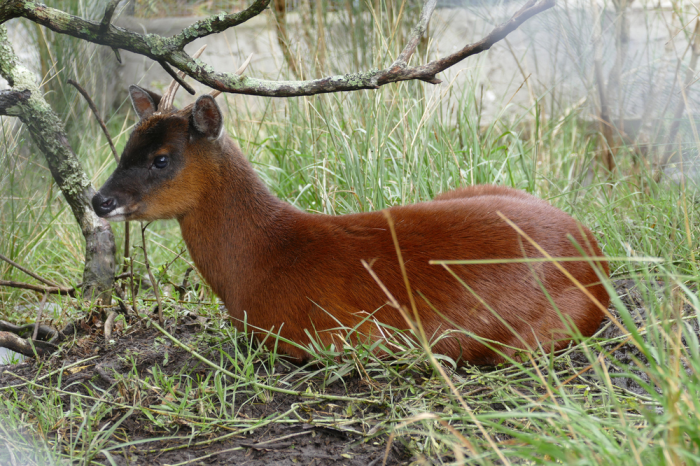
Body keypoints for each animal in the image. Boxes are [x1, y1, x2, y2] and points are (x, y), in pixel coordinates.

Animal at [91, 83, 608, 368]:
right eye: (126, 147)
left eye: (161, 159)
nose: (99, 200)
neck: (262, 258)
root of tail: (596, 256)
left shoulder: (323, 336)